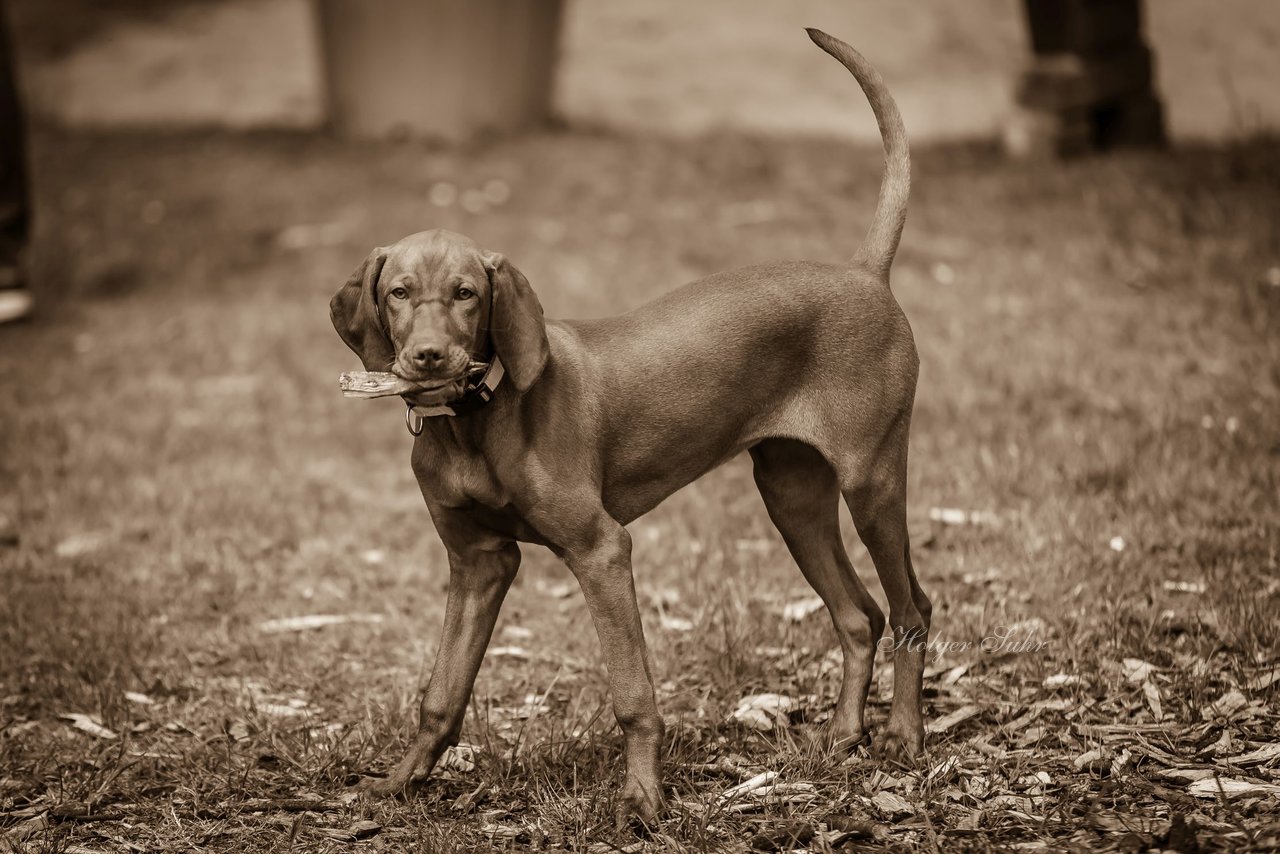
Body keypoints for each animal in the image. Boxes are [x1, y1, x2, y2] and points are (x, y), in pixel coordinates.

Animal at [332, 30, 931, 824]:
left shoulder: (601, 551)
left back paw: (903, 737)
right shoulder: (478, 562)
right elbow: (442, 693)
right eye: (398, 293)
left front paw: (643, 798)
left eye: (466, 295)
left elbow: (632, 695)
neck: (473, 424)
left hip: (871, 482)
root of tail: (865, 274)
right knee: (859, 614)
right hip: (791, 495)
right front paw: (400, 783)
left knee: (911, 608)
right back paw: (842, 736)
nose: (429, 356)